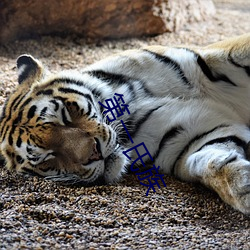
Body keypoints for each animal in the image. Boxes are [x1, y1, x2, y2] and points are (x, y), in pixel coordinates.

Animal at [0, 32, 250, 213]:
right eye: (48, 157)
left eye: (65, 116)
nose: (95, 153)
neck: (128, 107)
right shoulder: (187, 138)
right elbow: (210, 162)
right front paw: (243, 188)